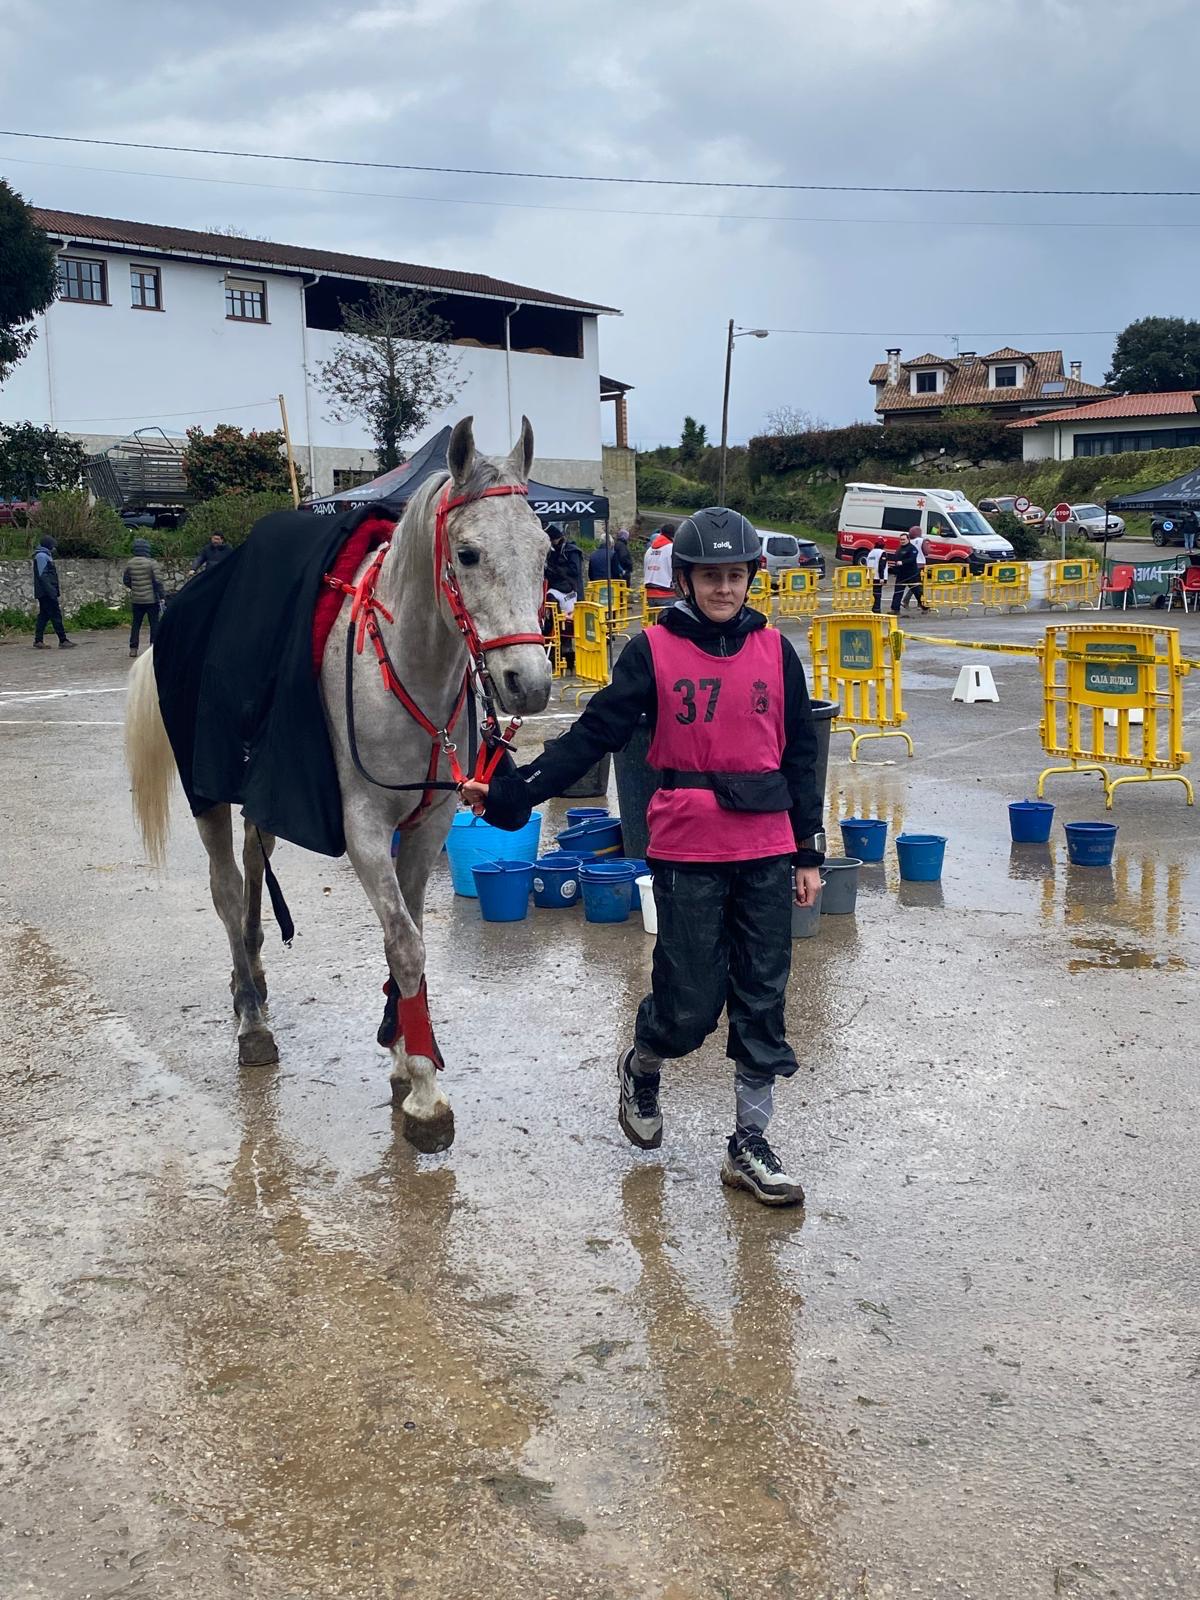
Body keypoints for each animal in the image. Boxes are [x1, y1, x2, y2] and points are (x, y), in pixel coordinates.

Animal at [124, 416, 553, 1152]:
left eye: (546, 548)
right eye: (468, 554)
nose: (529, 684)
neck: (401, 669)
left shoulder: (427, 828)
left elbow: (408, 937)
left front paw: (402, 1053)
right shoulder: (365, 832)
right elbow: (405, 943)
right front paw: (426, 1095)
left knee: (253, 867)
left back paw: (253, 979)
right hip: (207, 796)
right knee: (225, 889)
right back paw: (251, 1019)